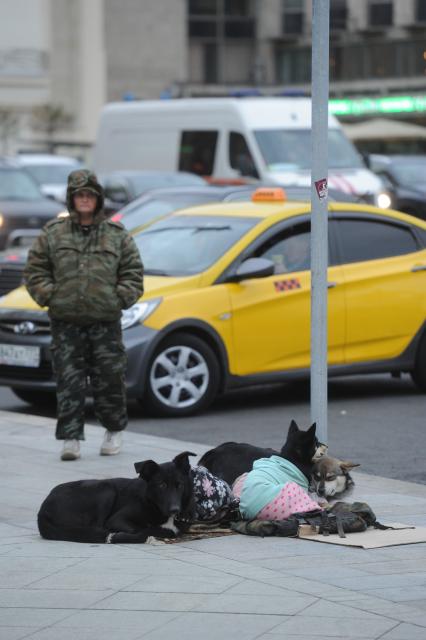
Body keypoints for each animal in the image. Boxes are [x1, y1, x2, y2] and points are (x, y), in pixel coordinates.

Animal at [37, 450, 196, 544]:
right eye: (161, 485)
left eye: (179, 485)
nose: (175, 510)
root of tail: (43, 511)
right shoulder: (116, 519)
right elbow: (140, 530)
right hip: (106, 489)